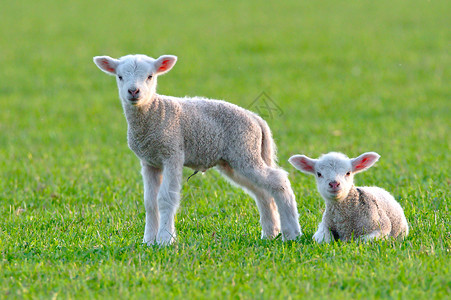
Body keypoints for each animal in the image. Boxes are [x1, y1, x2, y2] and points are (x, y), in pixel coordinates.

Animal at [93, 54, 302, 246]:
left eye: (150, 76)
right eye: (120, 76)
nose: (133, 91)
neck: (155, 111)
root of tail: (257, 119)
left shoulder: (172, 153)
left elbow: (166, 199)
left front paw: (165, 240)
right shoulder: (149, 161)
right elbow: (150, 203)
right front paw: (148, 241)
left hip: (245, 150)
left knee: (278, 180)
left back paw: (291, 233)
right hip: (236, 159)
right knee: (262, 192)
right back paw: (270, 233)